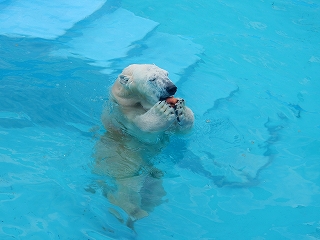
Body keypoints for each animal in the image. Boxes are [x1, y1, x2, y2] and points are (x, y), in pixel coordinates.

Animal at [94, 63, 194, 227]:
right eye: (152, 79)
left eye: (166, 74)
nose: (172, 88)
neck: (131, 102)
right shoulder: (126, 118)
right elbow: (145, 130)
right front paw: (161, 112)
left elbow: (181, 130)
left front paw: (182, 110)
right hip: (122, 162)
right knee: (128, 188)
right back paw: (132, 212)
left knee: (154, 189)